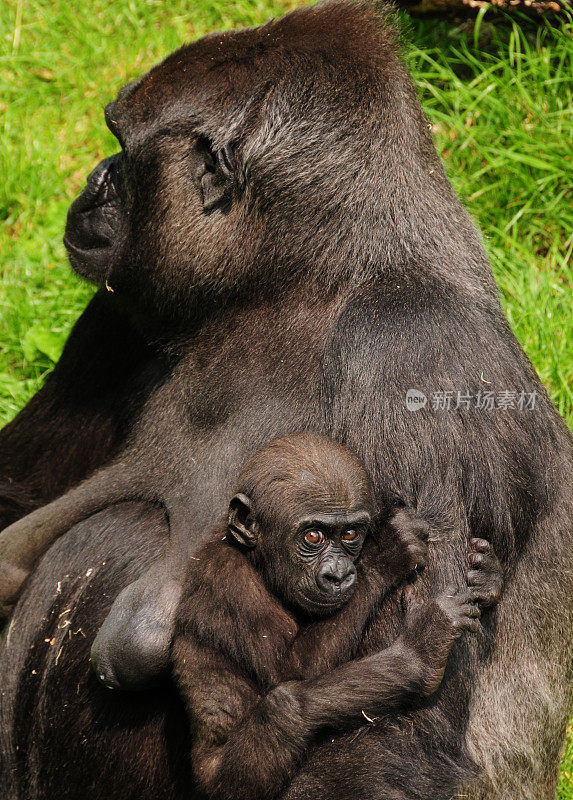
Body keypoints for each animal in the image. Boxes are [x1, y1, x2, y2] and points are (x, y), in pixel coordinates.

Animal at [173, 434, 500, 800]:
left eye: (350, 534)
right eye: (313, 536)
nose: (338, 575)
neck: (257, 562)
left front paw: (486, 576)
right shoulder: (231, 584)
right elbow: (289, 667)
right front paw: (388, 551)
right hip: (225, 786)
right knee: (286, 704)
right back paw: (418, 658)